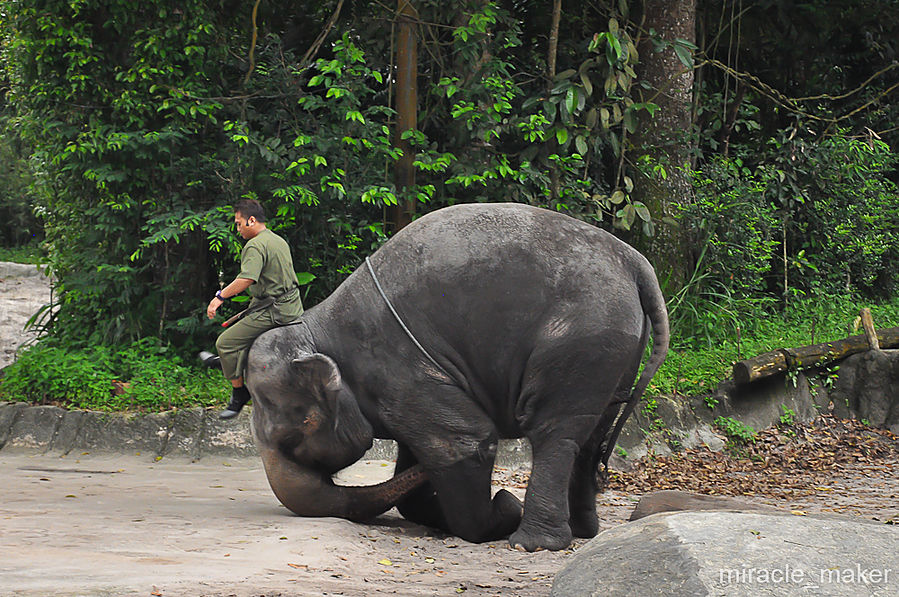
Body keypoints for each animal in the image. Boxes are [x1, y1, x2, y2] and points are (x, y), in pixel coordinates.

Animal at [246, 203, 668, 552]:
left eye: (290, 441)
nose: (505, 495)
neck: (315, 327)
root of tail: (635, 261)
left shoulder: (397, 367)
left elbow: (466, 442)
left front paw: (502, 510)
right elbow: (419, 452)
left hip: (582, 340)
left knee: (555, 432)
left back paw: (531, 543)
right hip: (616, 351)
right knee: (592, 435)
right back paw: (582, 531)